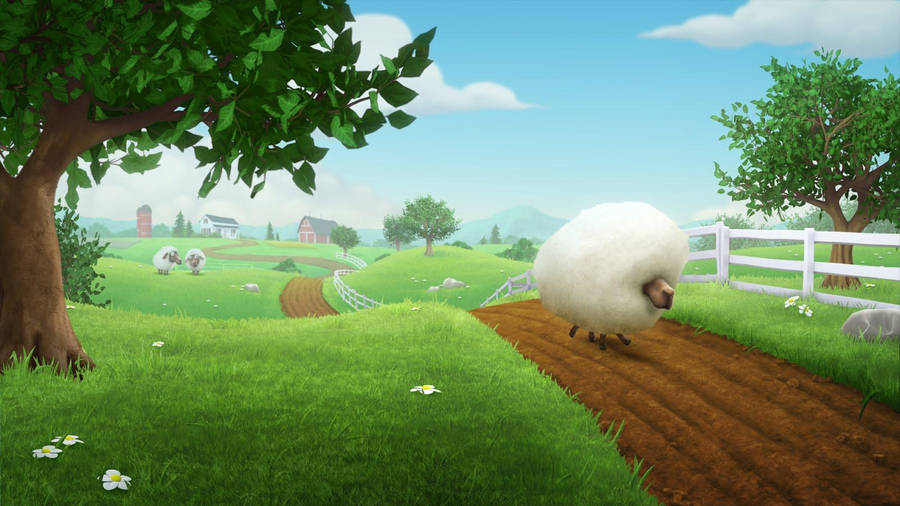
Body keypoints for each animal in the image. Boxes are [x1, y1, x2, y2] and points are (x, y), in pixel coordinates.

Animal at [533, 202, 689, 350]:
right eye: (656, 287)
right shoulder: (602, 314)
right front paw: (603, 345)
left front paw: (623, 340)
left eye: (664, 283)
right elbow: (603, 331)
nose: (670, 293)